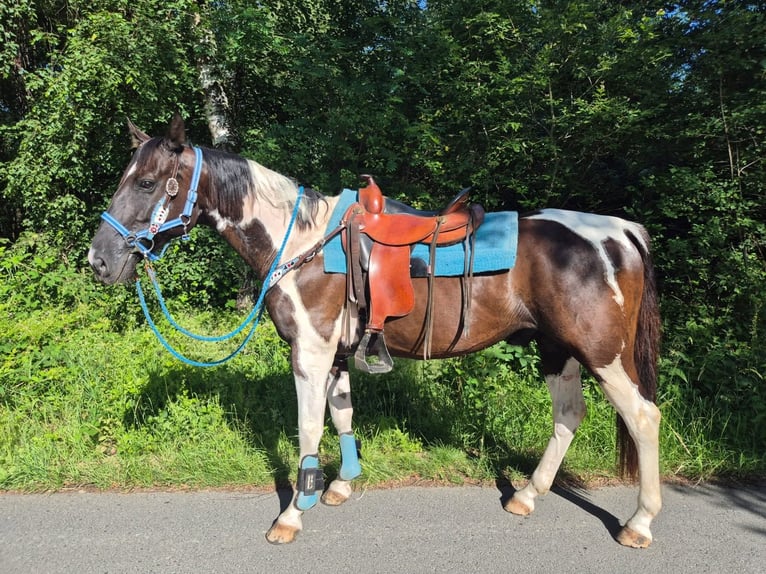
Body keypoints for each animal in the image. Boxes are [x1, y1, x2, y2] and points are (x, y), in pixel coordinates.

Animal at [89, 114, 662, 548]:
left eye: (146, 183)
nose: (99, 260)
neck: (303, 242)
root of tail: (621, 232)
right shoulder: (337, 354)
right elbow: (342, 416)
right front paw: (340, 486)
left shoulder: (310, 351)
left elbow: (309, 428)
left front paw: (293, 513)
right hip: (556, 349)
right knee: (569, 415)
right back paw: (526, 495)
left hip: (602, 353)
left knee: (643, 417)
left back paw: (638, 523)